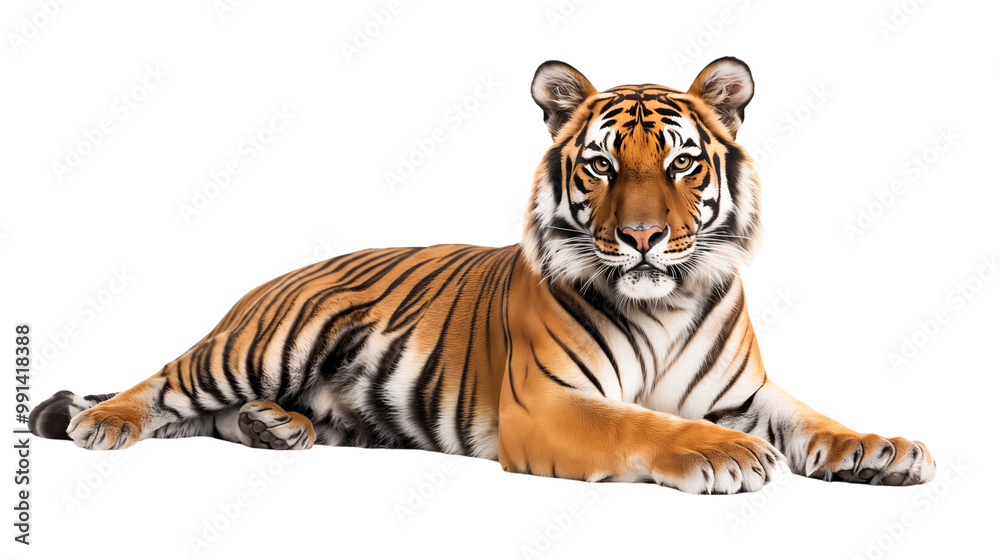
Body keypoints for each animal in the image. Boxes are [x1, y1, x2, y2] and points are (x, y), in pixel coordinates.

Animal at [30, 57, 935, 494]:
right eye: (603, 164)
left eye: (682, 163)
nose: (643, 238)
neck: (666, 303)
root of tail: (277, 277)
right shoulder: (548, 403)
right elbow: (643, 424)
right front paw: (727, 456)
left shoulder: (744, 391)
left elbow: (811, 418)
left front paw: (880, 448)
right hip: (262, 345)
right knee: (166, 383)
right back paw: (103, 421)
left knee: (208, 418)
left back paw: (274, 428)